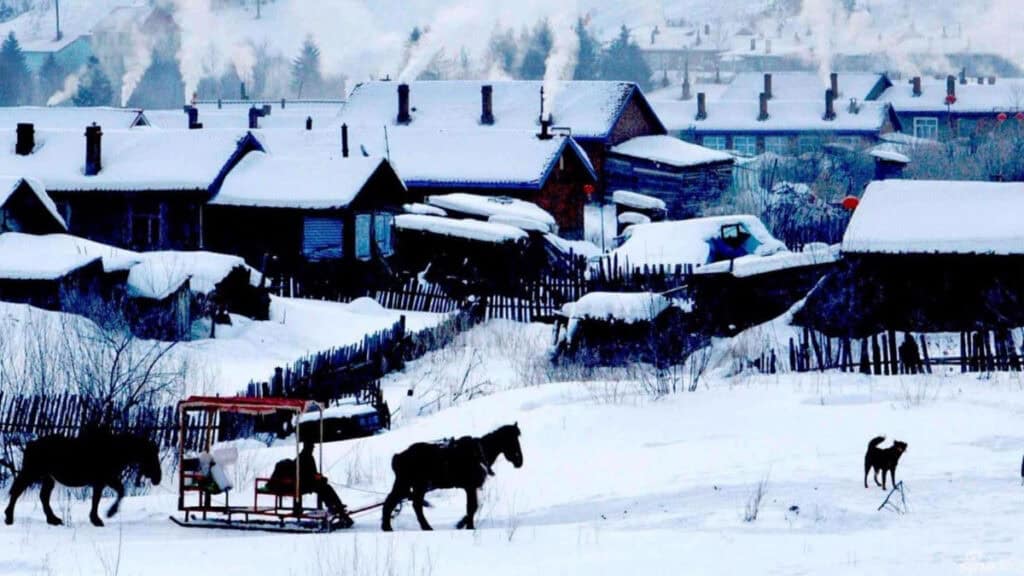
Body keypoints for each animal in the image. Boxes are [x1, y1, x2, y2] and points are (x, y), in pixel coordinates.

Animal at [4, 430, 161, 524]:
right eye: (150, 455)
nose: (158, 478)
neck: (114, 451)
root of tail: (31, 444)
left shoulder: (103, 481)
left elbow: (102, 497)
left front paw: (99, 517)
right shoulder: (104, 480)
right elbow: (108, 496)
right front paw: (105, 515)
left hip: (48, 478)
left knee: (43, 497)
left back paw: (53, 519)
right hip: (31, 473)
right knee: (17, 491)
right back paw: (9, 517)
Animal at [385, 422, 528, 528]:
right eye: (511, 441)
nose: (519, 461)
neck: (478, 453)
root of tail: (399, 456)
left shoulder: (471, 488)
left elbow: (473, 507)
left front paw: (463, 524)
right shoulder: (470, 487)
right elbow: (472, 507)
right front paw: (467, 526)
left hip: (409, 485)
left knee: (394, 503)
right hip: (414, 485)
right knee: (408, 505)